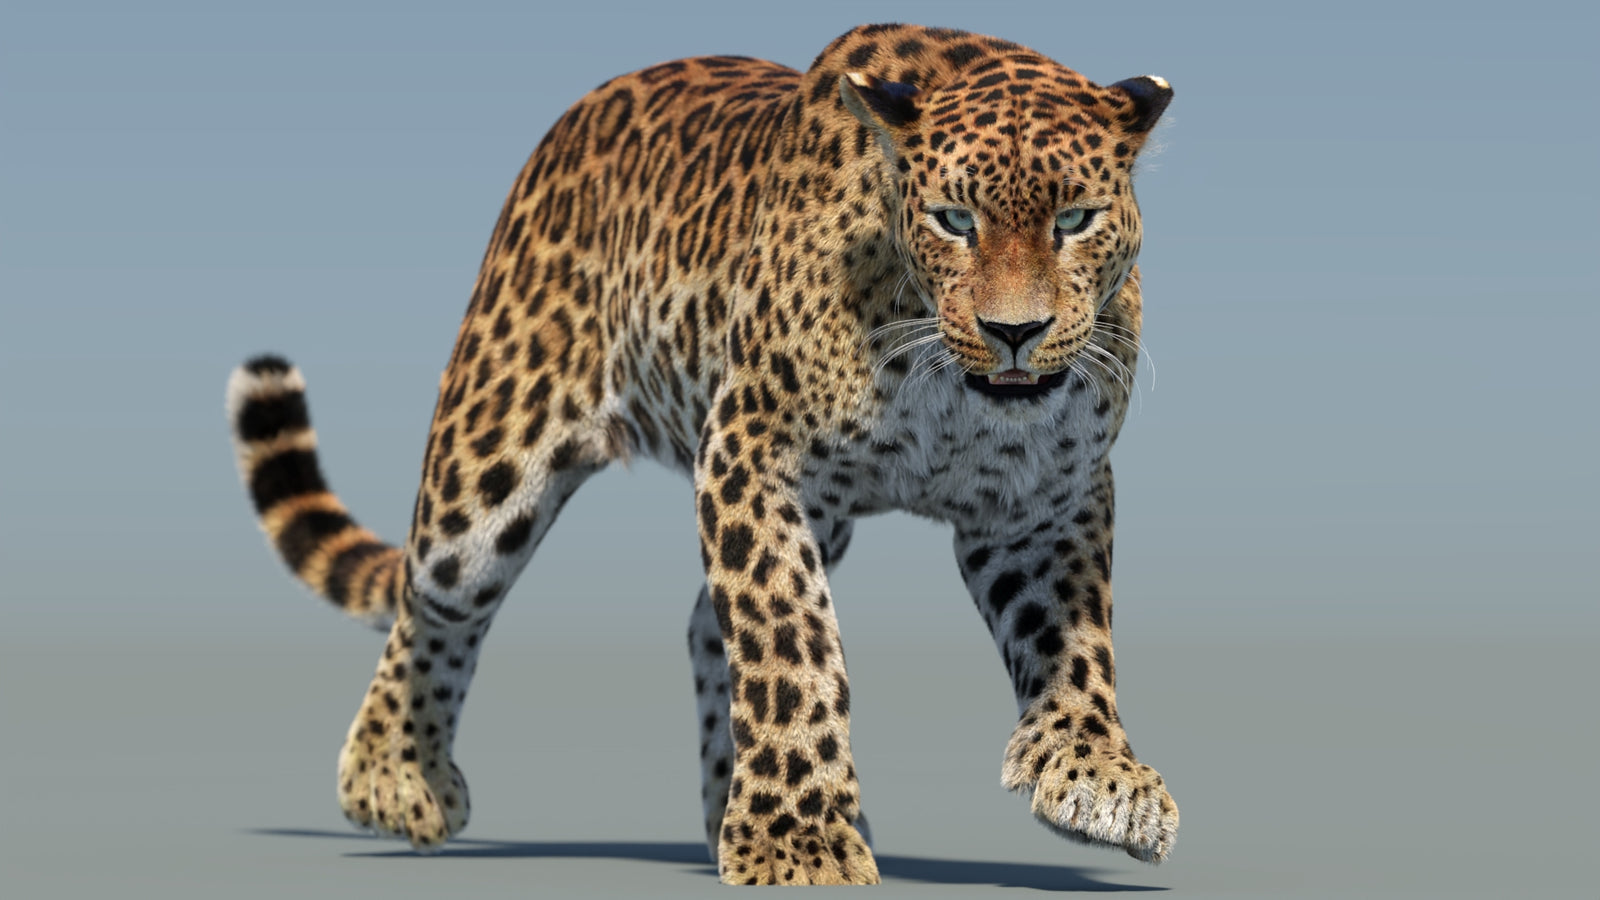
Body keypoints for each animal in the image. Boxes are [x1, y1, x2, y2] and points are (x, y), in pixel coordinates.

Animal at [225, 23, 1176, 885]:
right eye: (954, 221)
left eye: (1075, 220)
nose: (1015, 332)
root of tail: (576, 115)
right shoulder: (751, 451)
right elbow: (788, 638)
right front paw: (798, 841)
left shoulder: (1046, 496)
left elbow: (1071, 635)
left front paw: (1098, 774)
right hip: (492, 453)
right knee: (436, 595)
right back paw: (394, 777)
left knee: (697, 625)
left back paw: (730, 802)